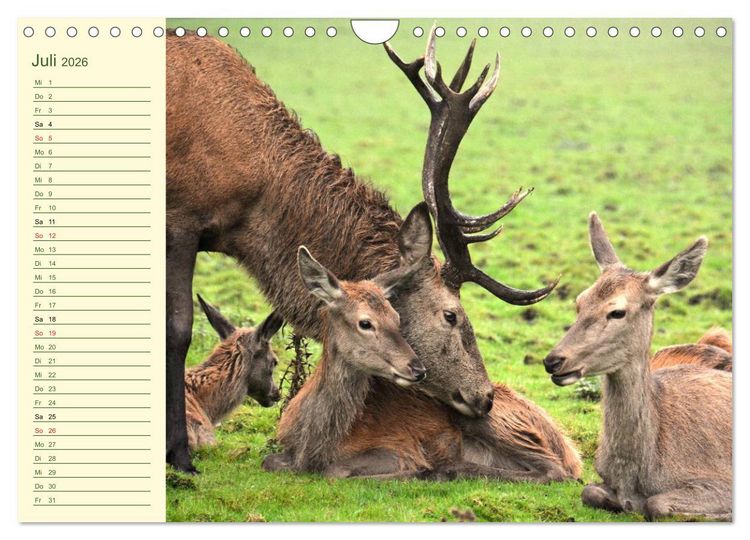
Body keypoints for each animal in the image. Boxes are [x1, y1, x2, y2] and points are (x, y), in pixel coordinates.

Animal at [543, 212, 732, 520]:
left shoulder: (721, 480)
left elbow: (658, 505)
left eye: (617, 311)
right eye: (579, 302)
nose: (554, 360)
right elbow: (589, 491)